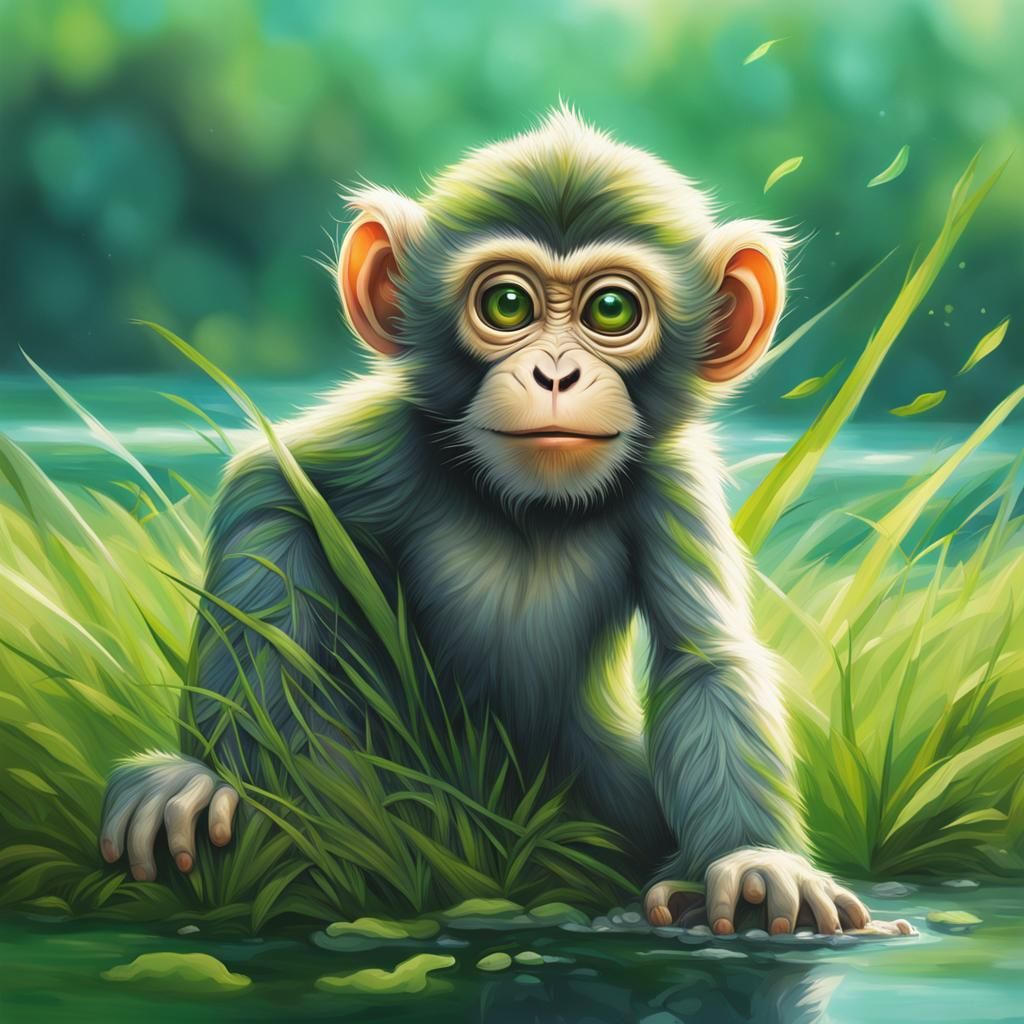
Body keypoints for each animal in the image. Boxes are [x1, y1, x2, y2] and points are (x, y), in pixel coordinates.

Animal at [100, 107, 911, 938]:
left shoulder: (672, 482)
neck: (527, 509)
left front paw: (754, 861)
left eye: (611, 311)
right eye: (508, 307)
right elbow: (271, 493)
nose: (555, 373)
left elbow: (703, 661)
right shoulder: (392, 437)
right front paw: (206, 775)